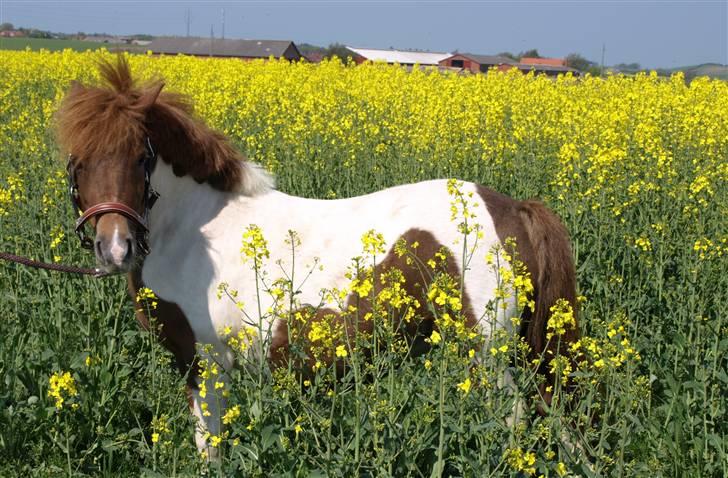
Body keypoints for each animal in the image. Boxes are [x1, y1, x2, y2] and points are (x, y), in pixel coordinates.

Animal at [55, 56, 580, 452]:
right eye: (76, 163)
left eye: (142, 157)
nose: (115, 247)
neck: (194, 230)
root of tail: (512, 208)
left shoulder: (204, 366)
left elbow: (210, 447)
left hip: (489, 358)